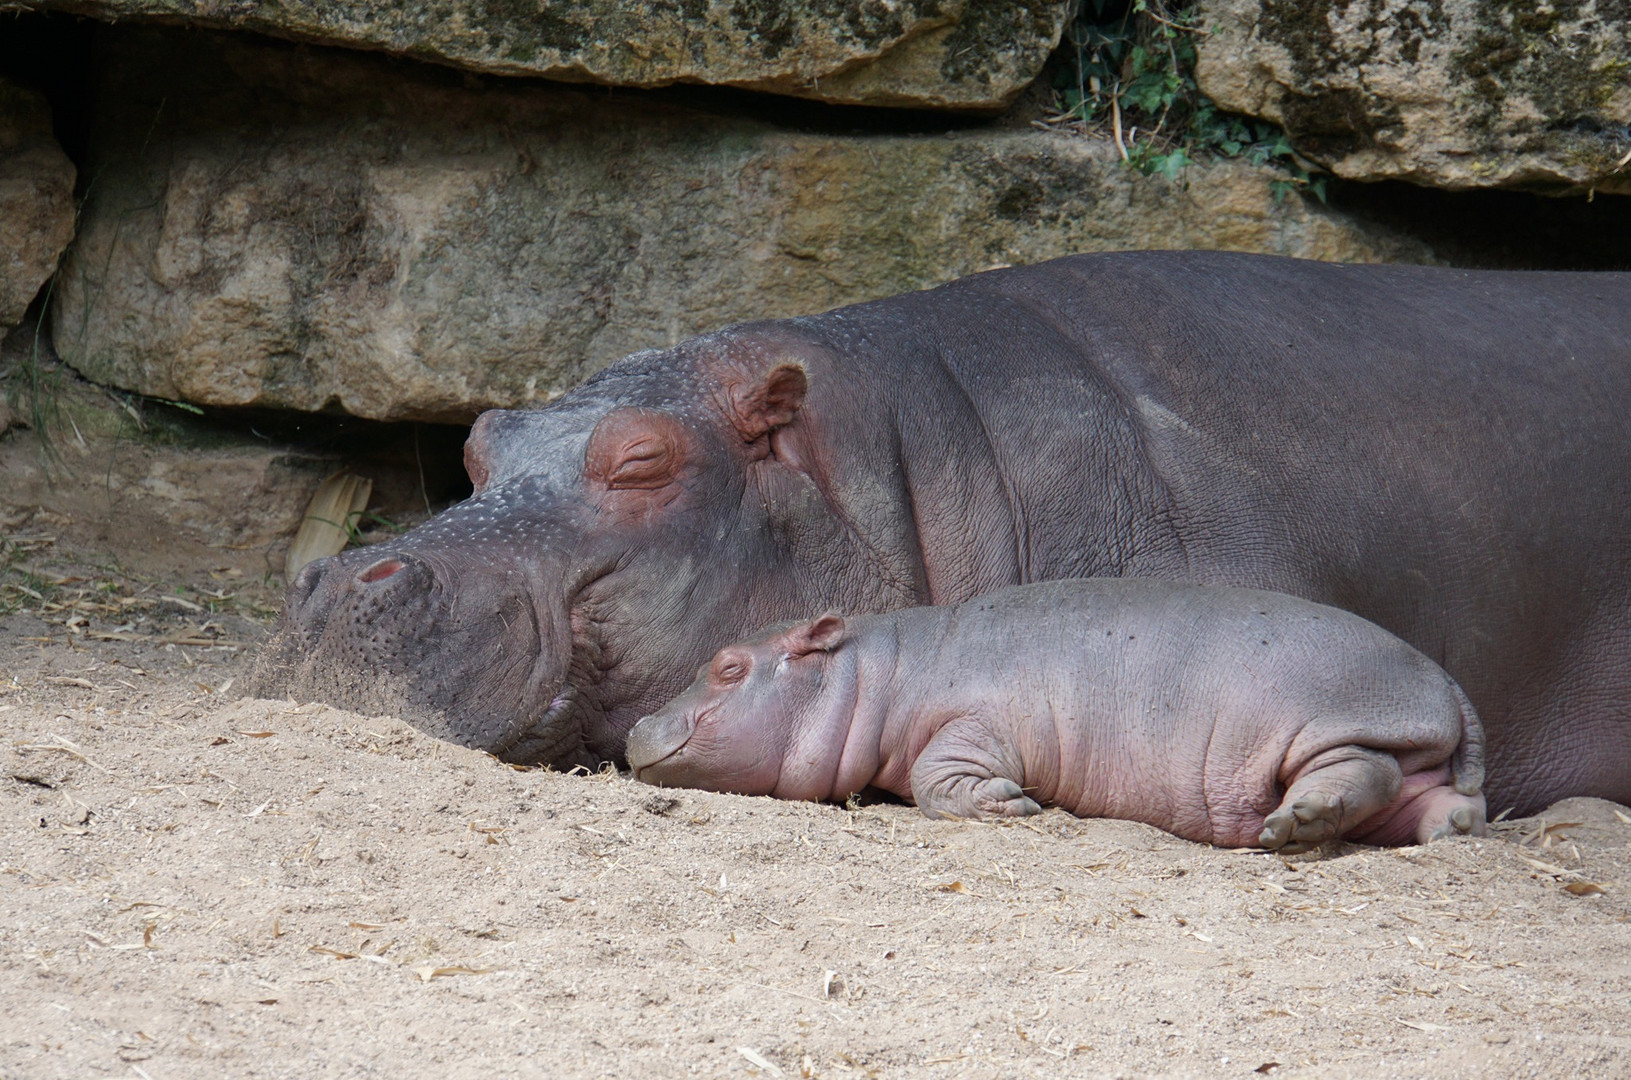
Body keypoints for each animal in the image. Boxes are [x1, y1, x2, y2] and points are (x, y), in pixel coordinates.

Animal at [626, 584, 1493, 854]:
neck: (877, 672)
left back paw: (1291, 826)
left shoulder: (974, 724)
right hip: (1411, 759)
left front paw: (1014, 806)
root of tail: (1447, 683)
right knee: (1431, 804)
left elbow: (939, 777)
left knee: (1360, 774)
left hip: (1332, 723)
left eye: (728, 664)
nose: (633, 727)